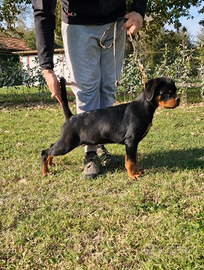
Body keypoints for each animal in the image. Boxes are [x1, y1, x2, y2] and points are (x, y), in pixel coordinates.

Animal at [41, 77, 180, 178]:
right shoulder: (131, 141)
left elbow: (133, 159)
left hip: (64, 142)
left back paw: (50, 163)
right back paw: (45, 172)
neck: (144, 107)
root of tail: (70, 117)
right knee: (44, 152)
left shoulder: (132, 144)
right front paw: (132, 175)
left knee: (51, 147)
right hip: (67, 143)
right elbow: (131, 161)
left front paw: (137, 171)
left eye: (175, 91)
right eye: (166, 93)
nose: (178, 99)